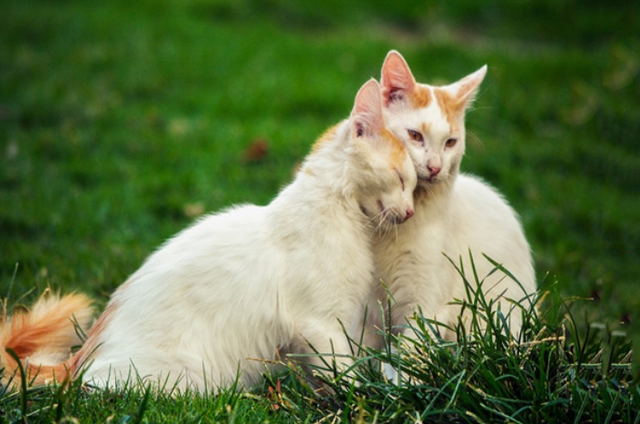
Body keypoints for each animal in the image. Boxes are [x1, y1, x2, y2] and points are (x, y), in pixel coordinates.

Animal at [0, 78, 418, 390]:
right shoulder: (318, 323)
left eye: (414, 186)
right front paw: (363, 397)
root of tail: (81, 357)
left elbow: (330, 373)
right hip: (186, 376)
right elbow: (344, 371)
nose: (411, 210)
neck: (341, 214)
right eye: (401, 179)